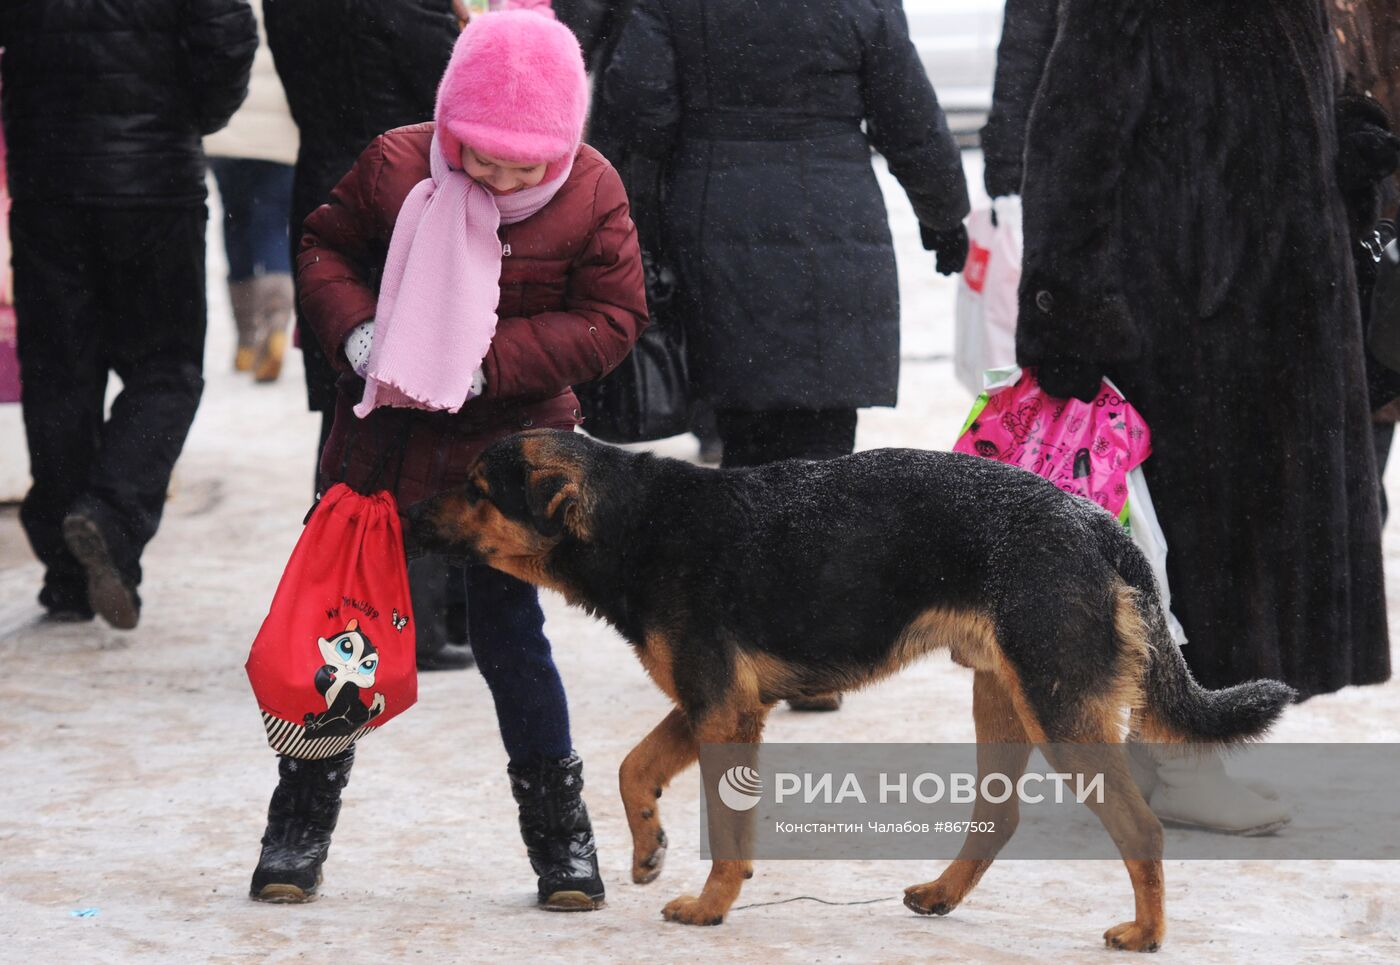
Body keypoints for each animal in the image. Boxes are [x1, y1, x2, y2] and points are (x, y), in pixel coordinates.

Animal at [403, 428, 1288, 946]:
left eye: (477, 488)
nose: (404, 513)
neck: (633, 519)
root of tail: (1098, 524)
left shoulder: (722, 707)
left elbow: (725, 829)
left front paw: (711, 906)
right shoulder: (715, 703)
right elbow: (632, 768)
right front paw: (649, 849)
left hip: (1058, 709)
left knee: (1141, 829)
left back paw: (1145, 932)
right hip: (1003, 697)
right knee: (999, 816)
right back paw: (942, 893)